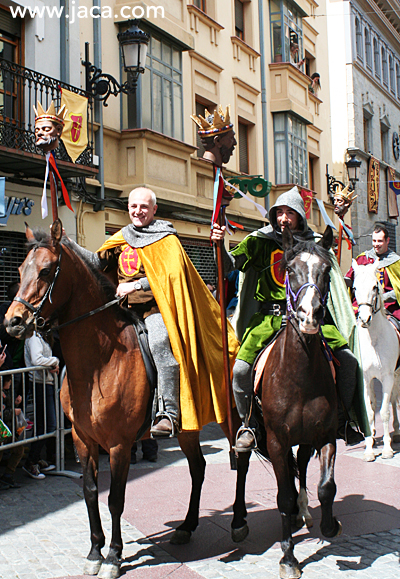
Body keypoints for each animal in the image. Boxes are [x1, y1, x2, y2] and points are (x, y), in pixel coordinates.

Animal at [4, 222, 245, 579]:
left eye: (46, 271)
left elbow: (115, 499)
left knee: (240, 459)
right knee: (198, 468)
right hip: (188, 424)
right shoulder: (83, 439)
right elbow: (91, 493)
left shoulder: (118, 443)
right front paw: (94, 551)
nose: (13, 321)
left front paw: (114, 557)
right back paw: (187, 526)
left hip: (231, 417)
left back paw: (240, 521)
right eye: (20, 270)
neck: (100, 361)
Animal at [233, 225, 342, 579]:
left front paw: (329, 524)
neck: (300, 374)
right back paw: (238, 521)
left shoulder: (324, 435)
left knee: (303, 466)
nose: (310, 315)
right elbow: (281, 497)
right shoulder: (278, 440)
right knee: (242, 462)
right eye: (291, 271)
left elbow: (326, 486)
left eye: (325, 271)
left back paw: (303, 512)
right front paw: (288, 558)